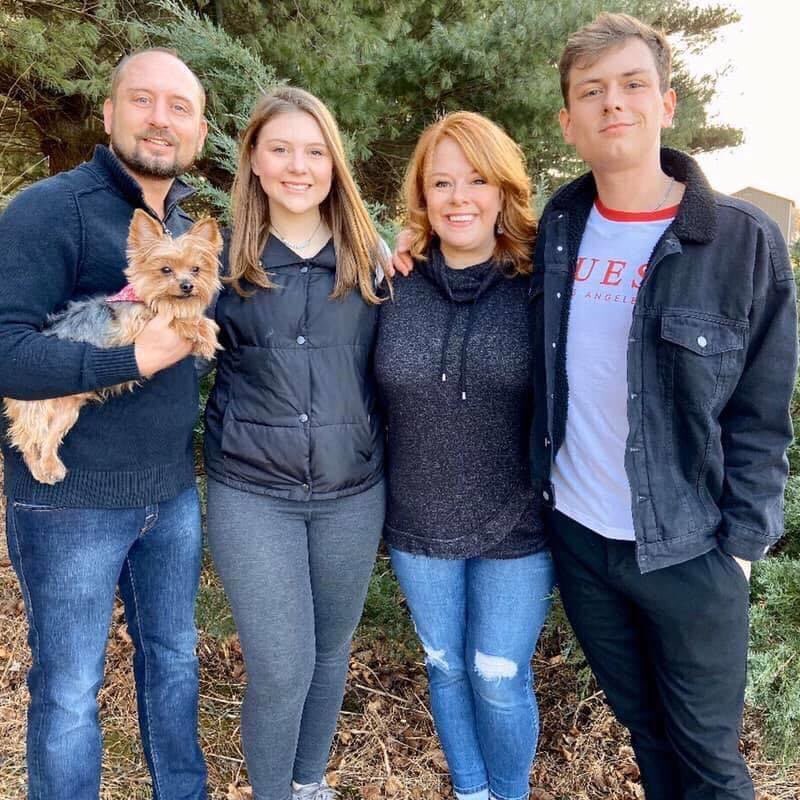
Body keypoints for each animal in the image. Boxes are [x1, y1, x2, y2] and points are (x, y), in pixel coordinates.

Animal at [4, 208, 223, 485]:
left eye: (196, 269)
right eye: (165, 269)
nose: (187, 286)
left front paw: (204, 330)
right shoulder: (134, 328)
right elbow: (172, 317)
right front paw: (198, 330)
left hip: (66, 410)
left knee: (49, 438)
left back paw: (51, 467)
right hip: (36, 405)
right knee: (27, 439)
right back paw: (37, 467)